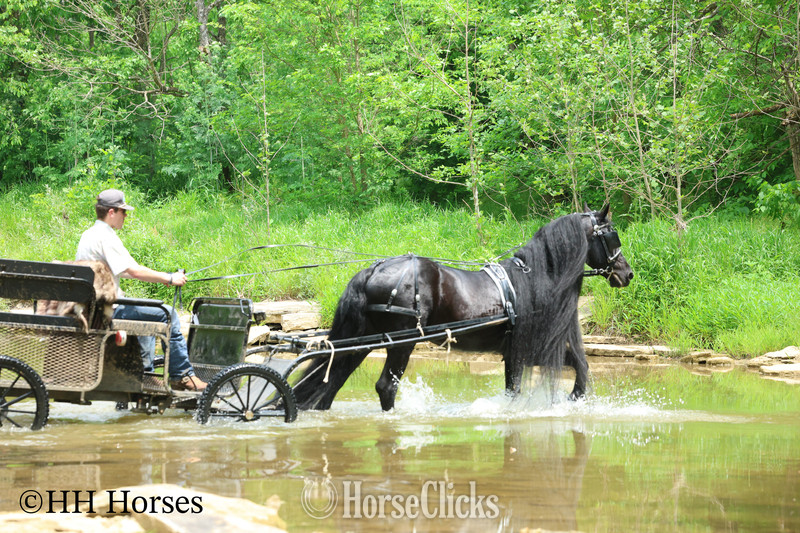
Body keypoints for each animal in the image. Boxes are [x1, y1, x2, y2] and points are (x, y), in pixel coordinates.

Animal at [291, 204, 634, 411]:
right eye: (612, 235)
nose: (627, 273)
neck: (536, 277)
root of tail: (373, 270)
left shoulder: (518, 351)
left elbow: (568, 372)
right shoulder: (527, 347)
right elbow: (574, 371)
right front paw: (571, 399)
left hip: (362, 341)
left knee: (332, 381)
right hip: (402, 344)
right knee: (385, 386)